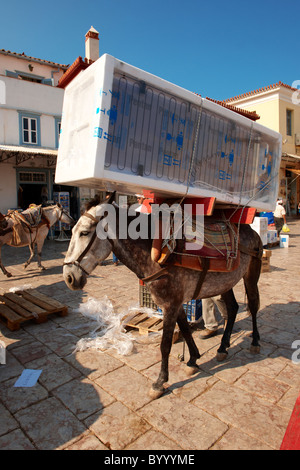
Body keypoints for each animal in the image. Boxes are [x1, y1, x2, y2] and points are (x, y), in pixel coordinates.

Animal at [63, 193, 262, 398]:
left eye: (84, 232)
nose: (69, 277)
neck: (154, 253)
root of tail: (250, 230)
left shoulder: (170, 305)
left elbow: (165, 344)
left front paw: (160, 382)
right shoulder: (175, 304)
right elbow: (185, 330)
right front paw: (193, 360)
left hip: (251, 273)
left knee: (254, 305)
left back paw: (255, 341)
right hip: (225, 283)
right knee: (233, 308)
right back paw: (223, 347)